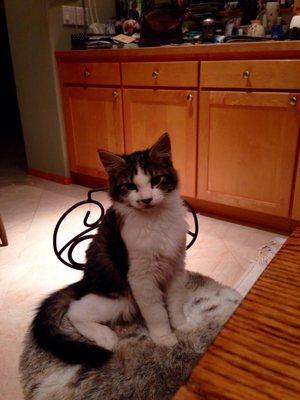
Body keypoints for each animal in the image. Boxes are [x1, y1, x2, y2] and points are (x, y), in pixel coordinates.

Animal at [32, 133, 192, 368]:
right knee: (75, 311)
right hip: (120, 300)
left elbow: (176, 303)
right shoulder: (141, 278)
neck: (156, 221)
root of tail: (83, 281)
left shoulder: (177, 266)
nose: (146, 199)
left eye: (156, 181)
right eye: (130, 186)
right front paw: (164, 338)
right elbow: (157, 313)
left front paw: (181, 326)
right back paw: (106, 337)